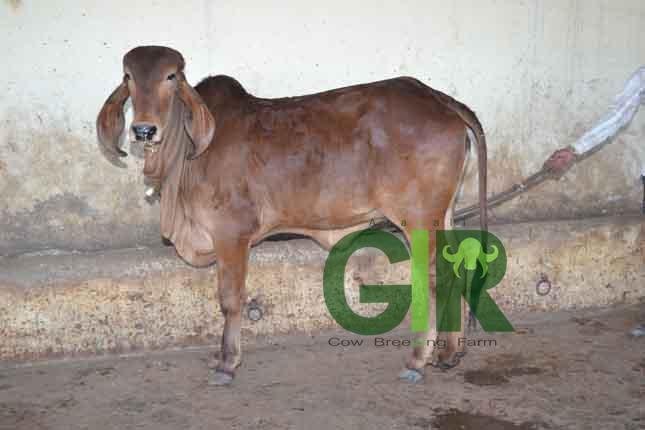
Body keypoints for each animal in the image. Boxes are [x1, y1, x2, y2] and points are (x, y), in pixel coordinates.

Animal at [96, 46, 488, 386]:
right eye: (128, 76)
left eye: (172, 76)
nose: (143, 130)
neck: (188, 154)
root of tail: (438, 99)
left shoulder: (231, 234)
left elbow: (230, 299)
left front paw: (227, 363)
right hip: (442, 214)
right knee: (455, 270)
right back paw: (449, 353)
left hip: (419, 218)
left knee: (435, 278)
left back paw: (418, 360)